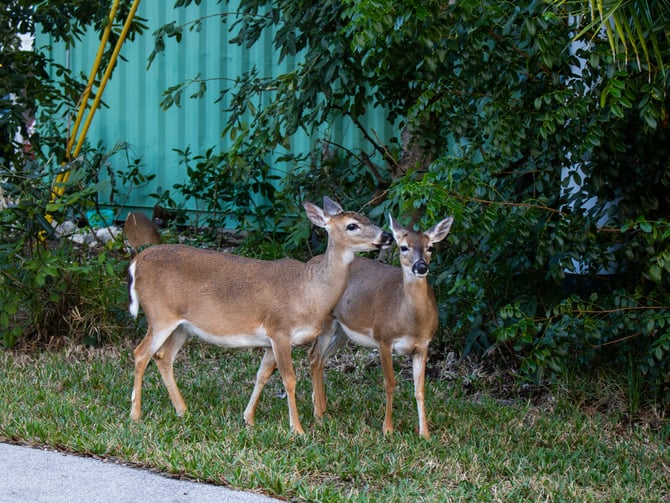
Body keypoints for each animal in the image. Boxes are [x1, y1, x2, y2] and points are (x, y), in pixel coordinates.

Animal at [127, 196, 393, 435]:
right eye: (352, 225)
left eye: (367, 218)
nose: (387, 237)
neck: (309, 292)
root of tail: (136, 262)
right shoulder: (280, 330)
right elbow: (289, 379)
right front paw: (297, 429)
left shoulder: (269, 341)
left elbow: (262, 375)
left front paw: (249, 419)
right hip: (160, 315)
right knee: (141, 353)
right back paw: (136, 415)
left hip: (182, 326)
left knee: (163, 356)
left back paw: (182, 410)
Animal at [309, 214, 453, 439]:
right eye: (403, 247)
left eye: (430, 247)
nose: (421, 267)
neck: (409, 321)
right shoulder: (383, 338)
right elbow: (390, 383)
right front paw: (388, 429)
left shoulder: (423, 346)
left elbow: (419, 390)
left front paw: (425, 433)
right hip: (326, 322)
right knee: (314, 357)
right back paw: (318, 414)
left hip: (343, 331)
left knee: (321, 359)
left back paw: (323, 408)